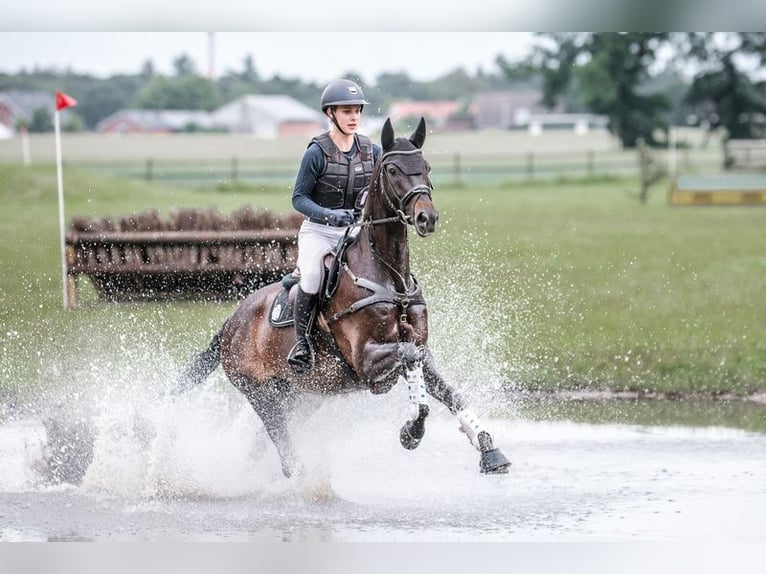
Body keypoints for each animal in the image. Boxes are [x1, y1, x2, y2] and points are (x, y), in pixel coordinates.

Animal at [177, 116, 512, 476]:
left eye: (426, 168)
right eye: (392, 170)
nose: (427, 218)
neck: (390, 277)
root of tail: (231, 322)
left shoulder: (421, 348)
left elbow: (446, 388)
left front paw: (489, 450)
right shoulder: (365, 359)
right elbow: (410, 364)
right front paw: (411, 431)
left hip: (302, 394)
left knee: (266, 441)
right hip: (261, 393)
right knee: (281, 441)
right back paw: (301, 477)